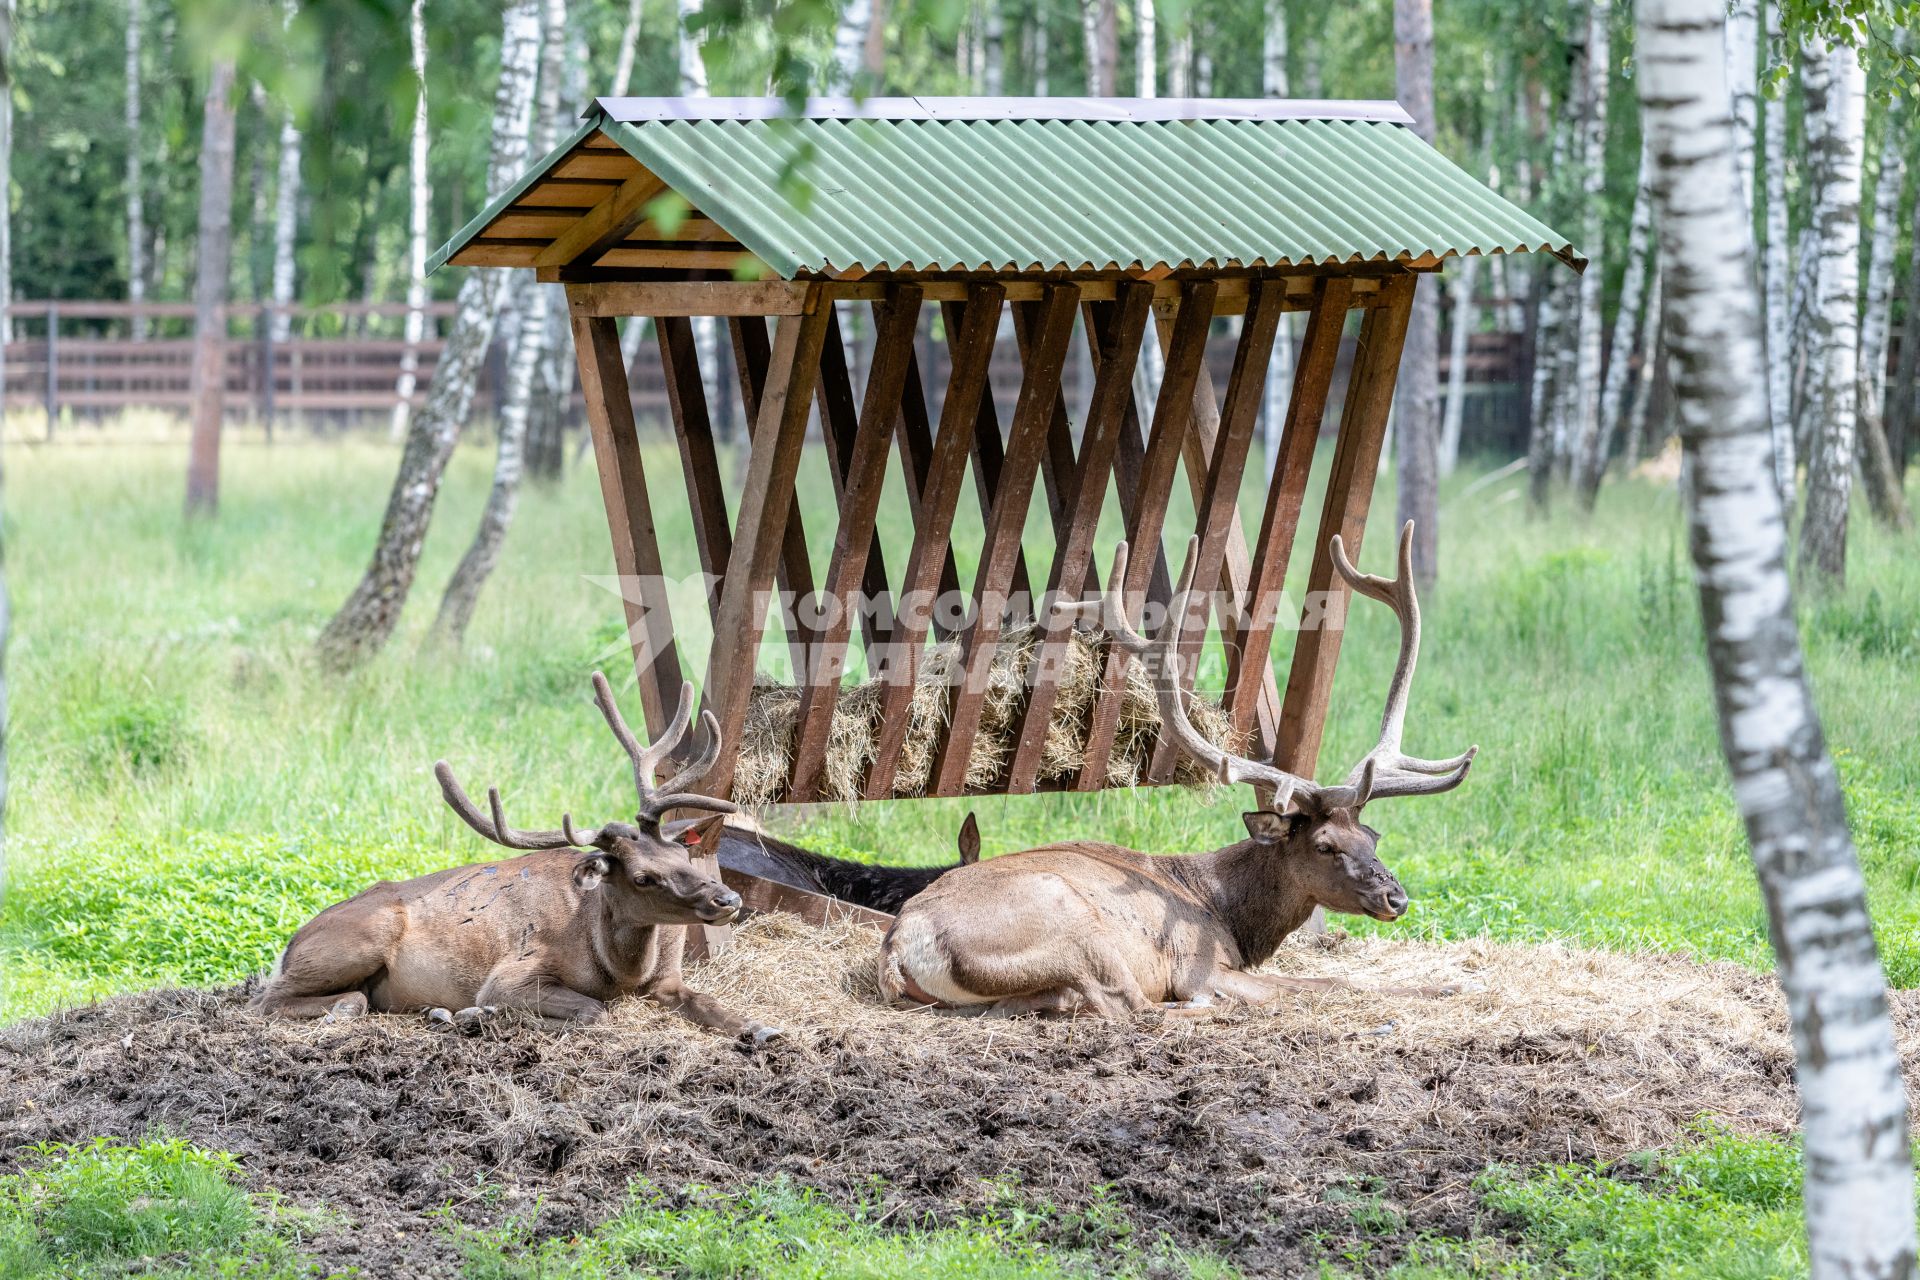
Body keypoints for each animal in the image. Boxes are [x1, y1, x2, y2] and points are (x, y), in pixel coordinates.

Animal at [253, 671, 779, 1043]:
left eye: (680, 855)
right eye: (642, 877)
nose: (728, 899)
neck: (622, 970)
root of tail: (290, 945)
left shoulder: (668, 977)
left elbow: (709, 1003)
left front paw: (761, 1027)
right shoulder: (510, 975)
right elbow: (591, 1010)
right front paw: (482, 1012)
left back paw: (436, 1011)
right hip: (361, 938)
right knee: (272, 999)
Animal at [879, 521, 1474, 1020]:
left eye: (1372, 835)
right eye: (1325, 845)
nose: (1396, 897)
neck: (1226, 914)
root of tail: (901, 947)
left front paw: (1449, 983)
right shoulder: (1199, 964)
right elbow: (1322, 984)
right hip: (1077, 926)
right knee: (1128, 1006)